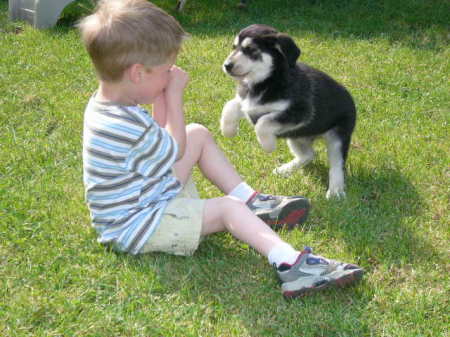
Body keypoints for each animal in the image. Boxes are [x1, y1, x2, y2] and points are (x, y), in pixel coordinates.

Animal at [221, 25, 356, 198]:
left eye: (251, 49)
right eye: (234, 47)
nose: (227, 65)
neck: (267, 81)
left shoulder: (300, 111)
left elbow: (263, 123)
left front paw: (268, 146)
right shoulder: (249, 105)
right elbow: (230, 106)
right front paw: (228, 130)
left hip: (337, 137)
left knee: (337, 165)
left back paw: (335, 191)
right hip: (296, 137)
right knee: (308, 155)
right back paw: (285, 170)